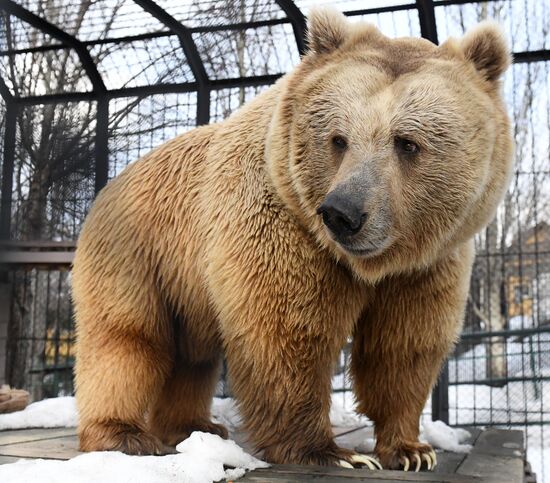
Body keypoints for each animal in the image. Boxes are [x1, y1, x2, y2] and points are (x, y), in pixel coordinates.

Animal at [71, 8, 516, 472]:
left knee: (193, 356)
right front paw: (334, 453)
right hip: (137, 253)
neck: (372, 262)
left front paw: (411, 449)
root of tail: (109, 185)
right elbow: (288, 332)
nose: (342, 213)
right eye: (338, 138)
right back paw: (122, 432)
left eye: (407, 142)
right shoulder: (283, 225)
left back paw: (194, 426)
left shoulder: (428, 263)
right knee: (126, 340)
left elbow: (402, 344)